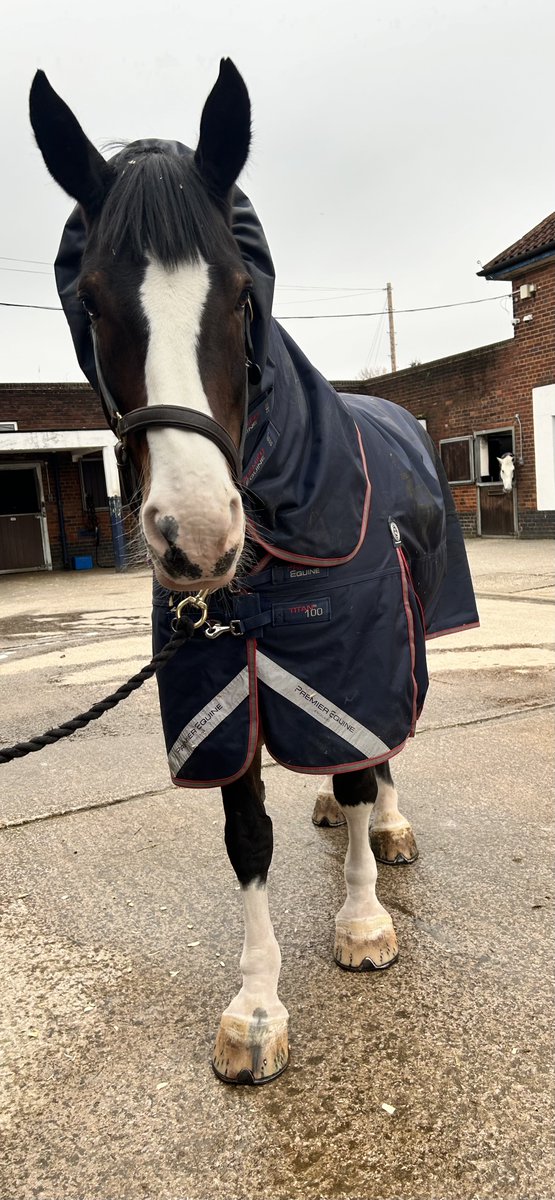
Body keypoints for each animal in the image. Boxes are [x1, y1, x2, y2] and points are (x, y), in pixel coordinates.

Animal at [29, 60, 478, 1085]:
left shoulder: (347, 664)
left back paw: (385, 828)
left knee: (386, 748)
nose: (194, 535)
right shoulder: (219, 691)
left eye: (240, 296)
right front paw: (257, 1008)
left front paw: (361, 922)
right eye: (91, 302)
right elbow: (247, 833)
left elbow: (361, 767)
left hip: (408, 638)